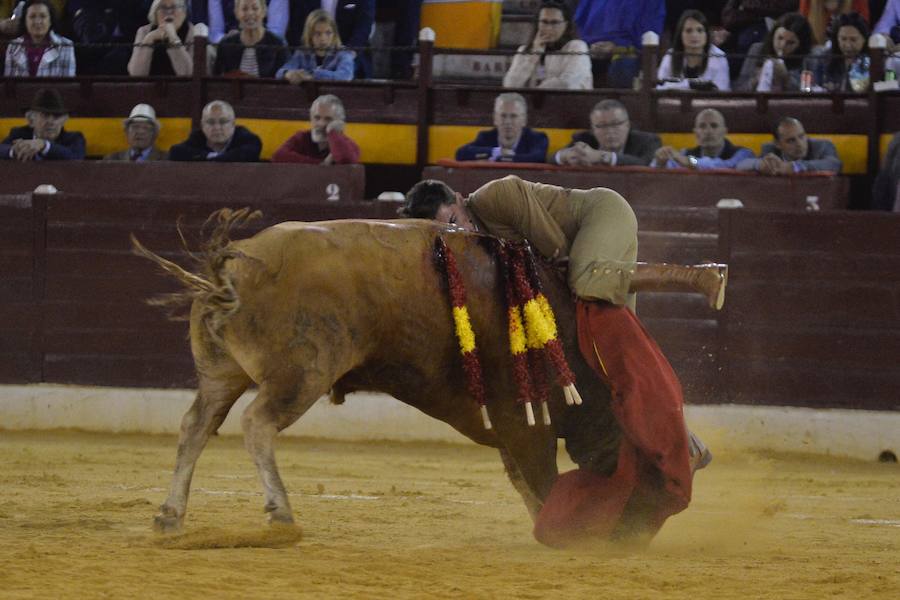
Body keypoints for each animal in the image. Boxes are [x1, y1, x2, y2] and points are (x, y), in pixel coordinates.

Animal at [134, 210, 624, 536]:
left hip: (221, 373)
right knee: (257, 422)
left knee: (196, 426)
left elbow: (523, 477)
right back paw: (281, 513)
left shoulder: (509, 425)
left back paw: (170, 514)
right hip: (302, 374)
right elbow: (539, 476)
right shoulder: (524, 418)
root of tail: (236, 265)